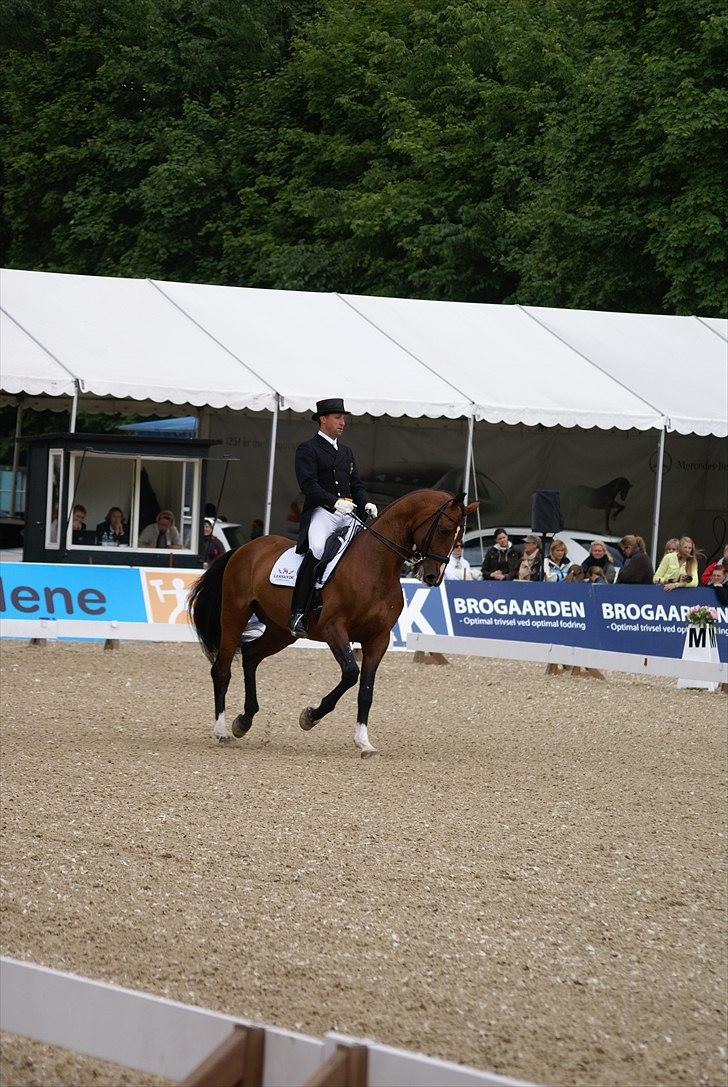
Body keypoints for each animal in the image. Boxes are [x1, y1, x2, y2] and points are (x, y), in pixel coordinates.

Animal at [187, 491, 478, 756]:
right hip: (234, 615)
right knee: (222, 669)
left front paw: (364, 742)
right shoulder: (334, 629)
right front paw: (310, 717)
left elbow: (366, 690)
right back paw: (222, 730)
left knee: (250, 655)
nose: (432, 577)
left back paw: (244, 721)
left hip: (282, 631)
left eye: (459, 537)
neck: (375, 566)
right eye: (444, 529)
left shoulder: (378, 639)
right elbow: (350, 674)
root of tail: (245, 548)